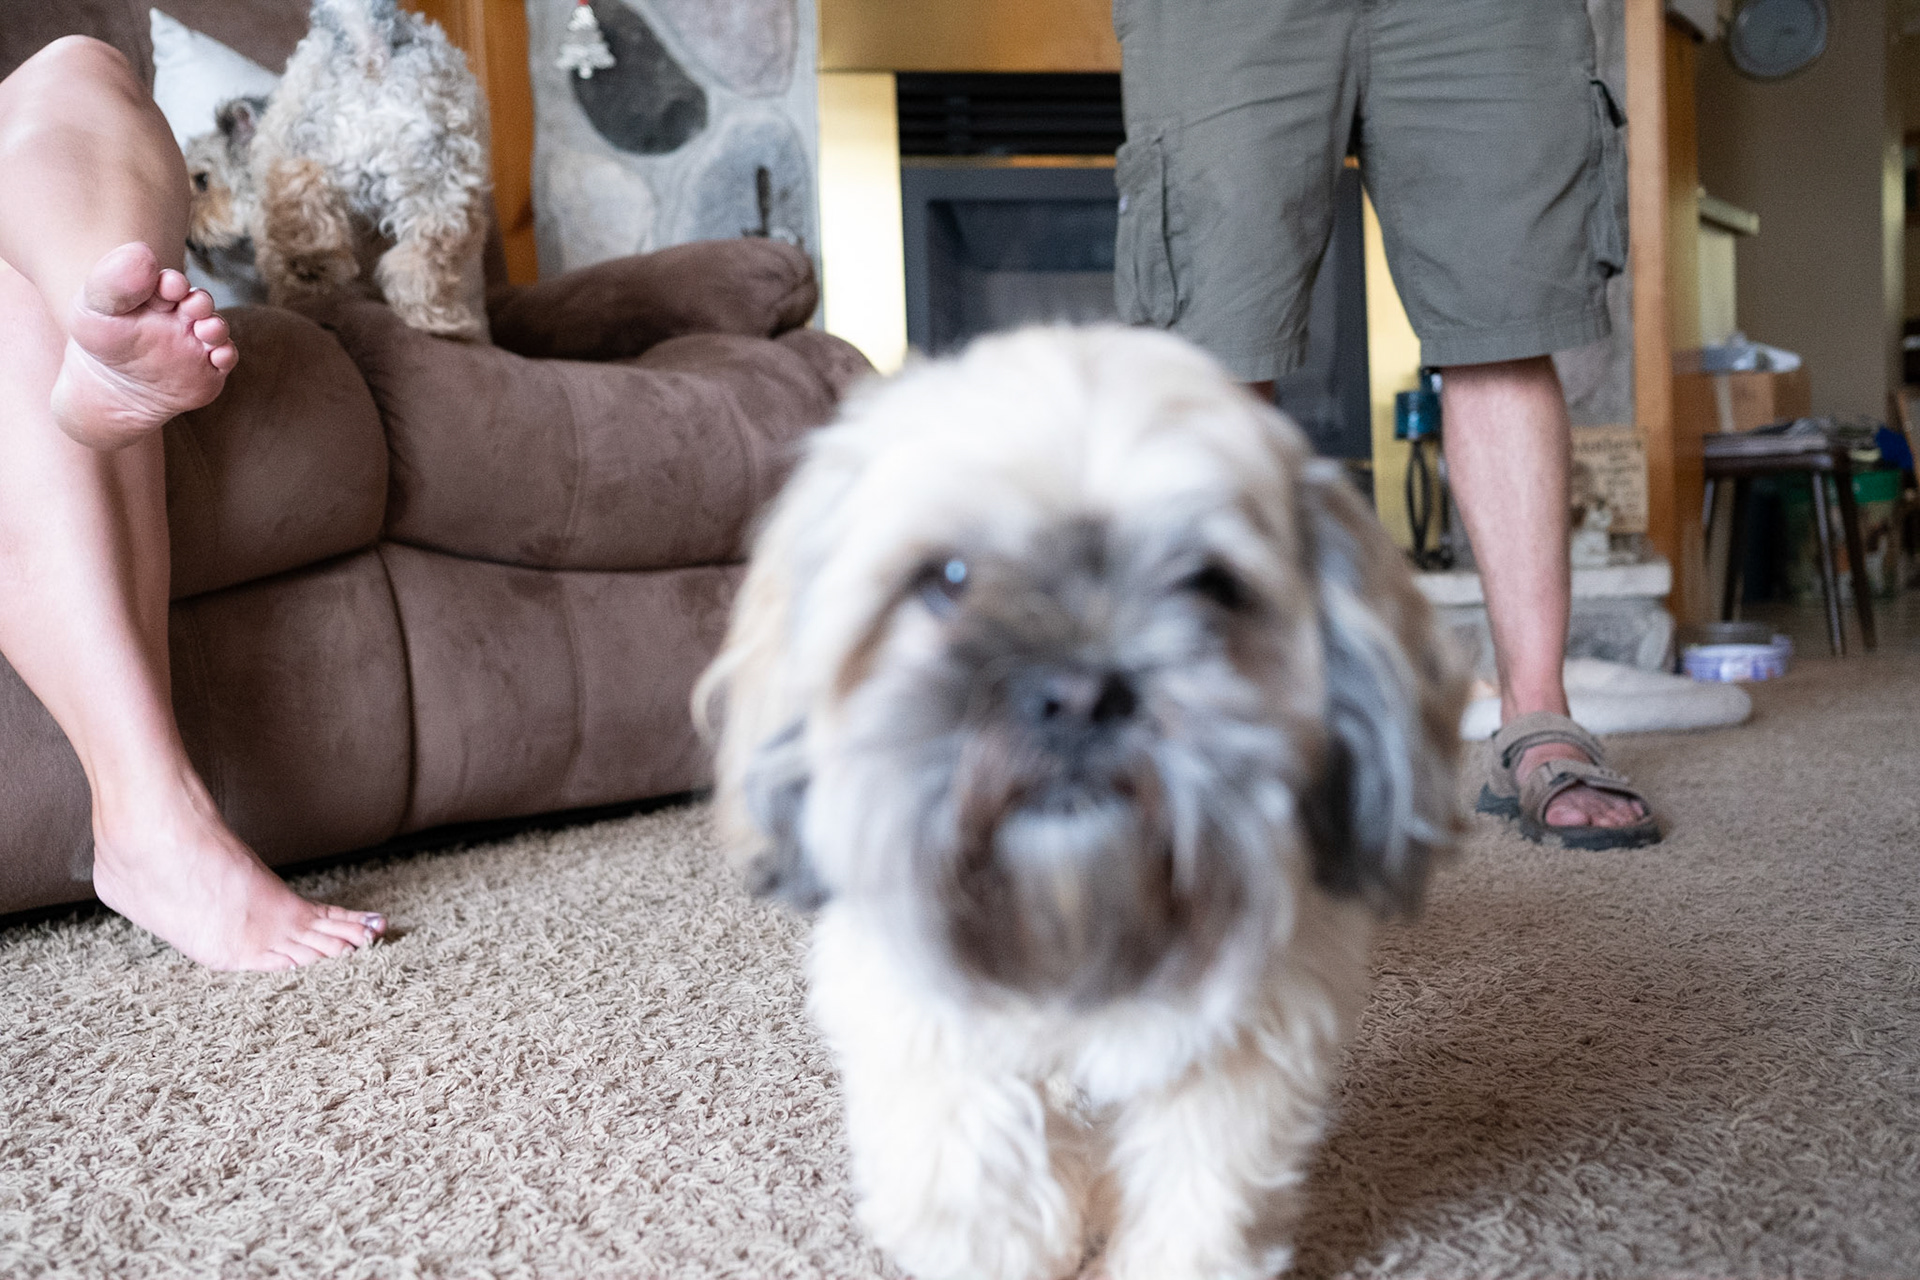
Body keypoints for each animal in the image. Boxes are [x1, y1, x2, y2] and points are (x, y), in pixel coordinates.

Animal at [183, 0, 491, 341]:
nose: (189, 241)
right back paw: (438, 320)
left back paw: (308, 276)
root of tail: (370, 49)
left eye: (201, 180)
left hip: (307, 154)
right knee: (429, 249)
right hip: (443, 180)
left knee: (305, 212)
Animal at [697, 326, 1466, 1280]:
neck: (1080, 921)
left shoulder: (1247, 1032)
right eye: (949, 577)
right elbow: (974, 1168)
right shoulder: (928, 1015)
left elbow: (1203, 1189)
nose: (1079, 694)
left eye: (1208, 584)